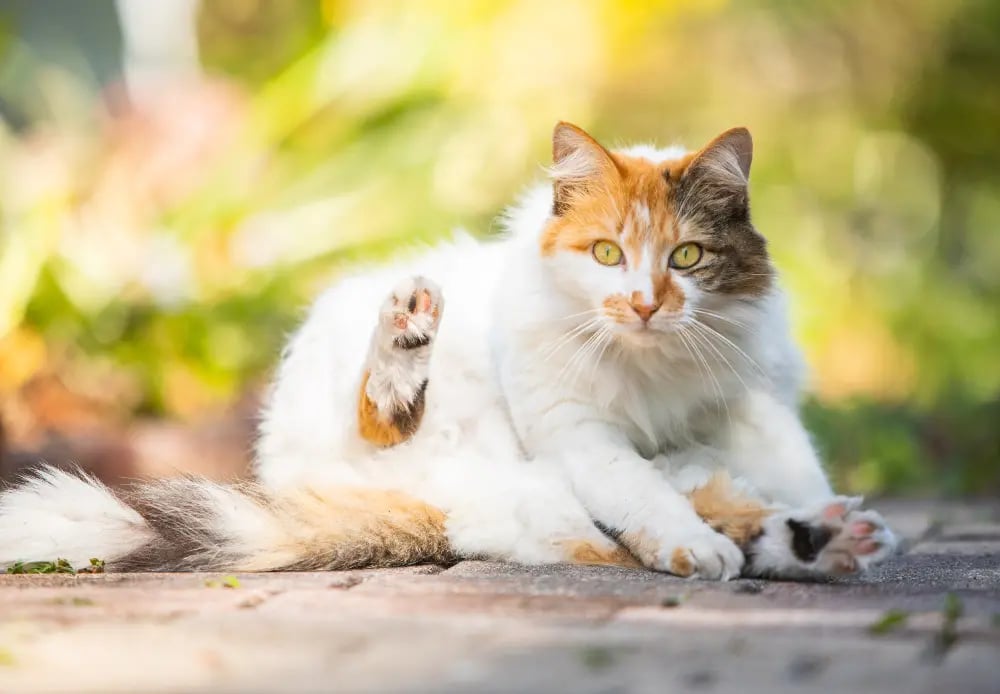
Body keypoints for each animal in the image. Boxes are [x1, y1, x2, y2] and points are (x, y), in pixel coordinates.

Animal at [0, 122, 900, 580]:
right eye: (608, 253)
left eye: (685, 257)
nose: (645, 304)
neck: (649, 367)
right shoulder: (577, 432)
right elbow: (641, 497)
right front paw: (690, 548)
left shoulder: (748, 405)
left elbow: (788, 470)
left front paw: (808, 520)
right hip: (415, 428)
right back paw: (403, 344)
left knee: (690, 507)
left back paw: (820, 542)